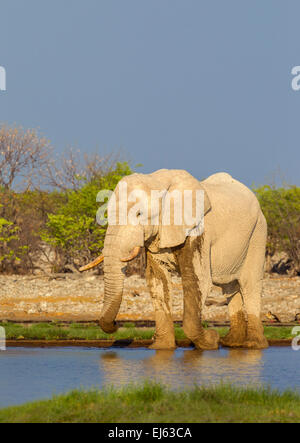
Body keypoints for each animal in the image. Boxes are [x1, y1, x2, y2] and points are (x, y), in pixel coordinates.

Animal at [80, 169, 270, 350]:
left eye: (139, 214)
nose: (116, 324)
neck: (158, 182)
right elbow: (157, 280)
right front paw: (161, 347)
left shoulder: (197, 231)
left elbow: (197, 280)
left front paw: (211, 341)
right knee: (230, 287)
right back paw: (232, 343)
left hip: (258, 233)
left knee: (250, 284)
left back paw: (253, 345)